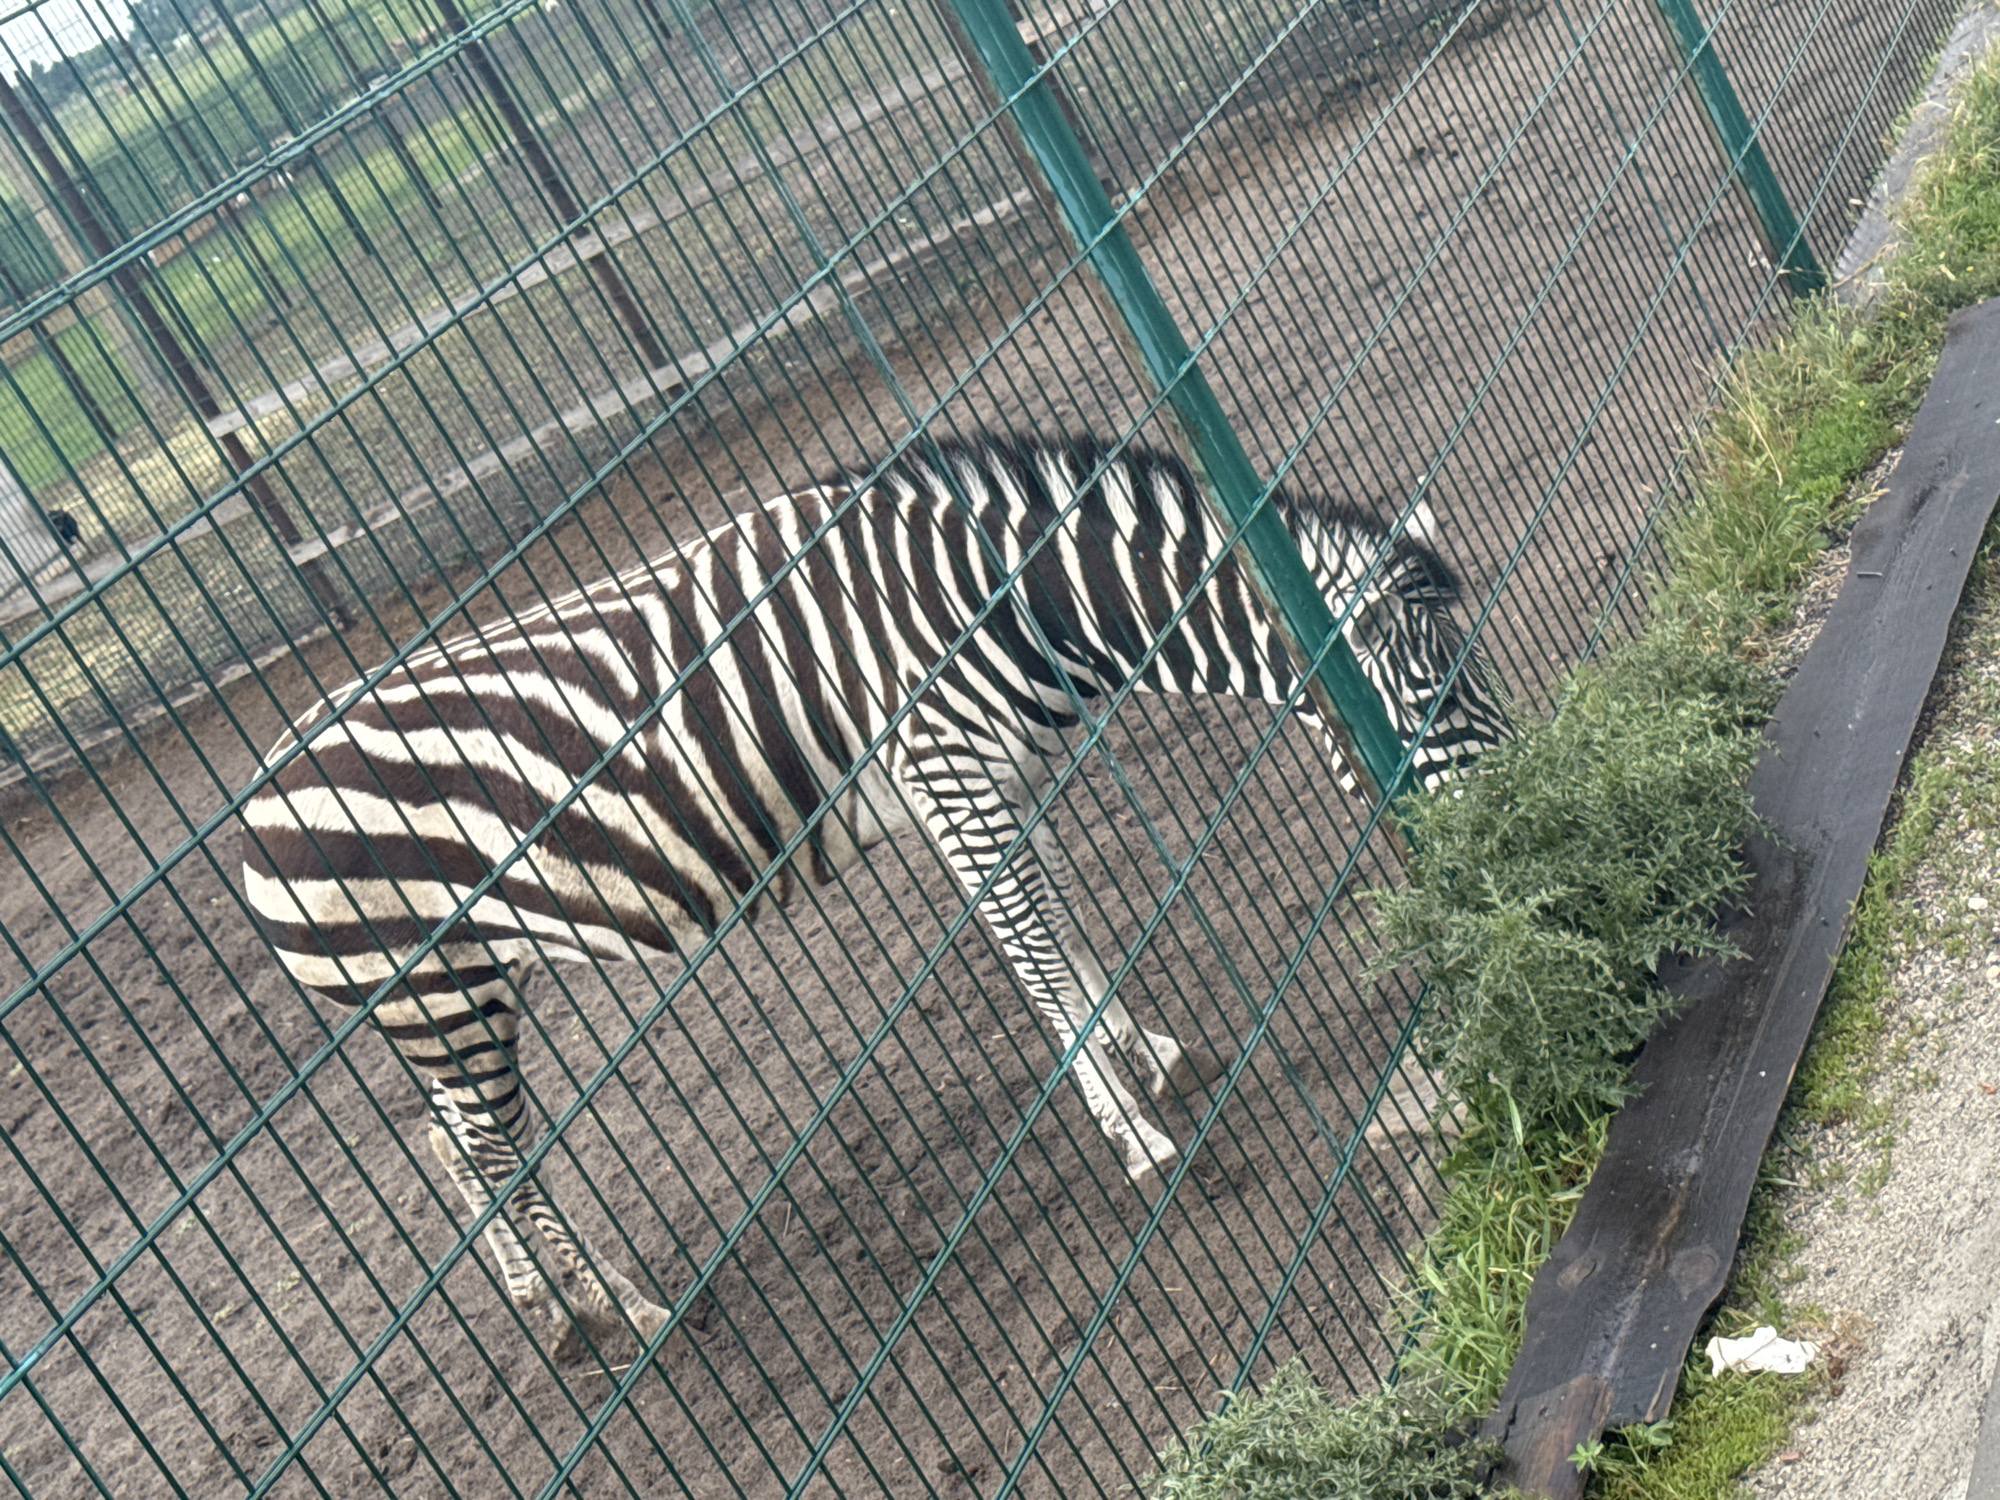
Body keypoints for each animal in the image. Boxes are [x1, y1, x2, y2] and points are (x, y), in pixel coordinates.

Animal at [240, 433, 1506, 1352]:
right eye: (1431, 698)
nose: (1514, 821)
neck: (1014, 598)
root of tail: (257, 798)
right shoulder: (948, 774)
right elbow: (1030, 949)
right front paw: (1135, 1135)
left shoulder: (993, 779)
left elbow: (1057, 932)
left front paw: (1137, 1051)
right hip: (437, 993)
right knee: (491, 1153)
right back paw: (631, 1309)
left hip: (450, 993)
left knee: (451, 1146)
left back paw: (551, 1310)